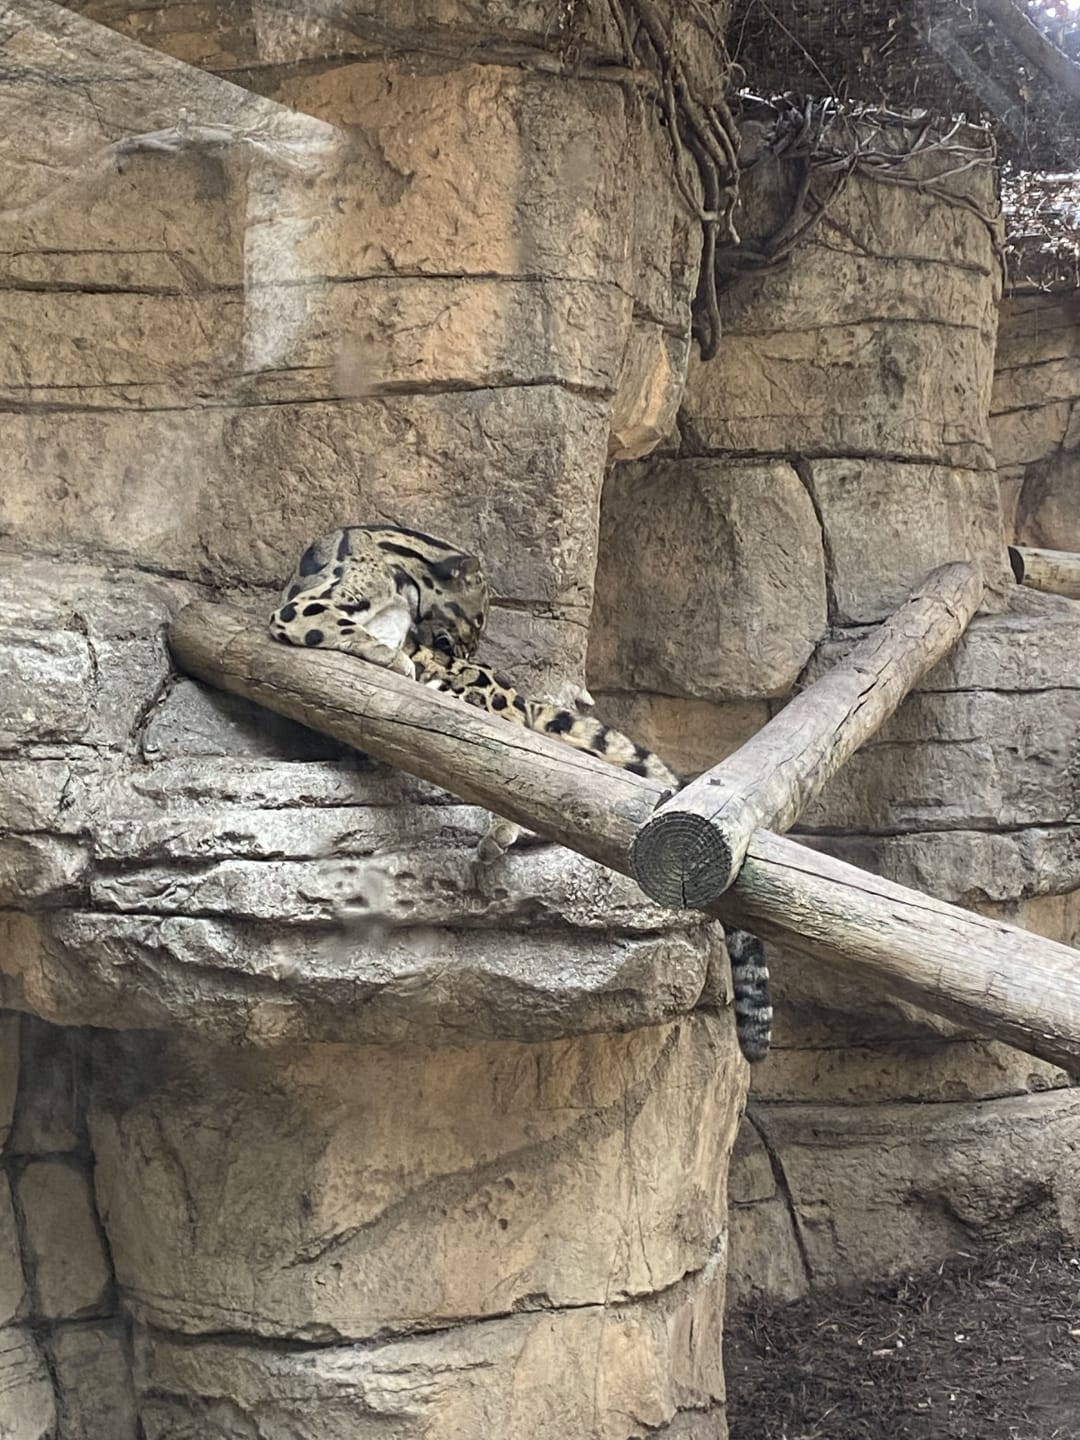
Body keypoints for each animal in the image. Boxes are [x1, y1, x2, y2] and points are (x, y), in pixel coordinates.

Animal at [270, 522, 772, 1062]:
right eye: (477, 619)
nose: (462, 653)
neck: (401, 570)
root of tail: (520, 696)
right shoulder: (305, 609)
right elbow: (341, 624)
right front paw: (392, 656)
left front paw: (399, 657)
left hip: (488, 706)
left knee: (505, 752)